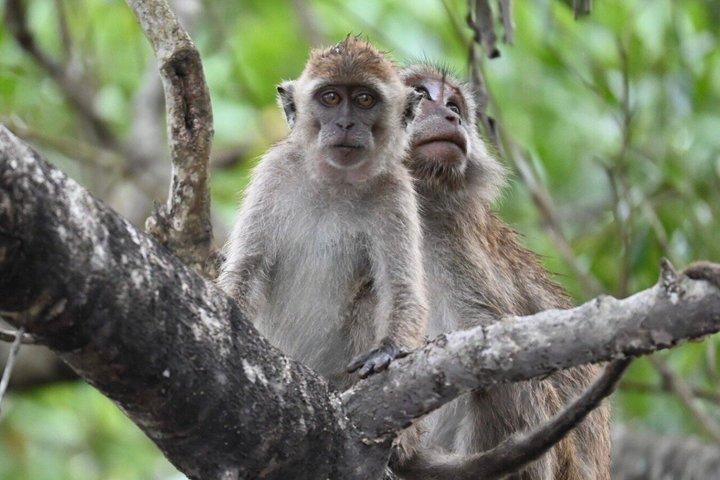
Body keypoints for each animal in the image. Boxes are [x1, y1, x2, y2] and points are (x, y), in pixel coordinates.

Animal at [217, 37, 427, 436]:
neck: (335, 184)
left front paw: (389, 349)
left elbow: (400, 287)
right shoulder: (274, 173)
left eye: (364, 100)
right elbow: (247, 268)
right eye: (330, 98)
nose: (345, 123)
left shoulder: (394, 190)